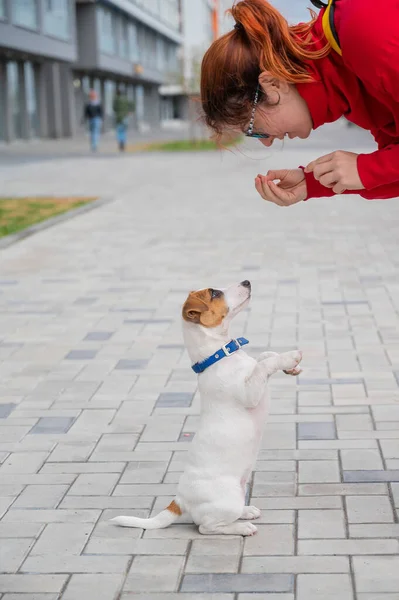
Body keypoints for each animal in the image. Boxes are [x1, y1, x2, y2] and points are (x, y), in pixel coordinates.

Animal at [111, 284, 302, 536]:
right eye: (214, 293)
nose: (247, 281)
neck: (219, 356)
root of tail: (179, 501)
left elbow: (264, 356)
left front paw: (291, 367)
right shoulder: (249, 392)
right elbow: (263, 365)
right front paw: (290, 357)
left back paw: (247, 511)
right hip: (228, 499)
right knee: (207, 527)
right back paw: (243, 526)